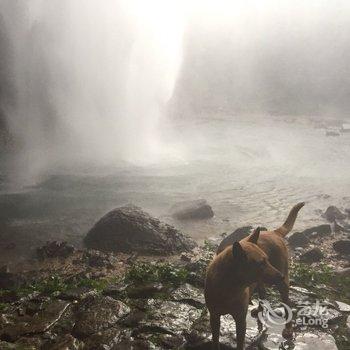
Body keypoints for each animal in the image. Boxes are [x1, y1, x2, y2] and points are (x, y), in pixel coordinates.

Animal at [205, 202, 304, 350]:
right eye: (261, 263)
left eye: (267, 260)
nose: (280, 275)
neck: (229, 288)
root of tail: (273, 232)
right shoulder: (214, 317)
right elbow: (215, 341)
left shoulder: (240, 320)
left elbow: (240, 344)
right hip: (261, 280)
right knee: (263, 292)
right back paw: (259, 309)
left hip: (282, 284)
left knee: (286, 304)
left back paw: (288, 329)